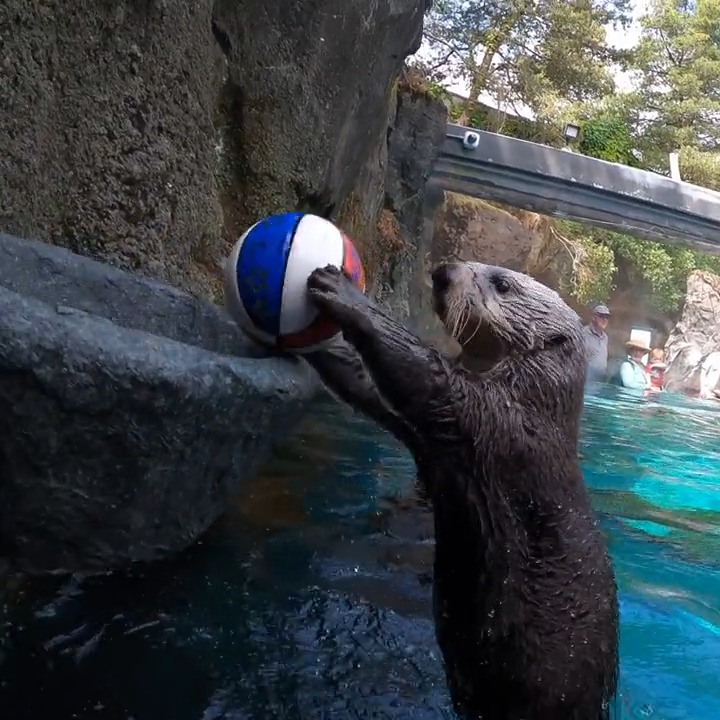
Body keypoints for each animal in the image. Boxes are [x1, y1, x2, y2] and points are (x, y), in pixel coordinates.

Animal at [304, 262, 619, 720]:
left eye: (502, 282)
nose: (443, 271)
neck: (532, 404)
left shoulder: (493, 418)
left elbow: (423, 373)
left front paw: (344, 294)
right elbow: (377, 392)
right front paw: (322, 346)